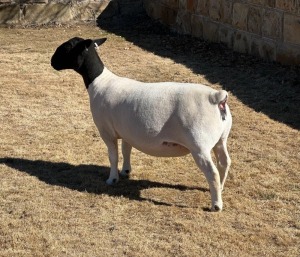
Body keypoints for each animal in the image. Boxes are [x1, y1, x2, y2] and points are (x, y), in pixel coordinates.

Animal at [51, 37, 232, 210]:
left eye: (69, 46)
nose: (52, 62)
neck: (100, 82)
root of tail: (216, 97)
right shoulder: (126, 131)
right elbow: (126, 150)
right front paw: (125, 171)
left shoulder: (107, 132)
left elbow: (113, 156)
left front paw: (112, 179)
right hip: (221, 139)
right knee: (224, 162)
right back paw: (221, 189)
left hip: (199, 144)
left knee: (213, 172)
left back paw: (216, 205)